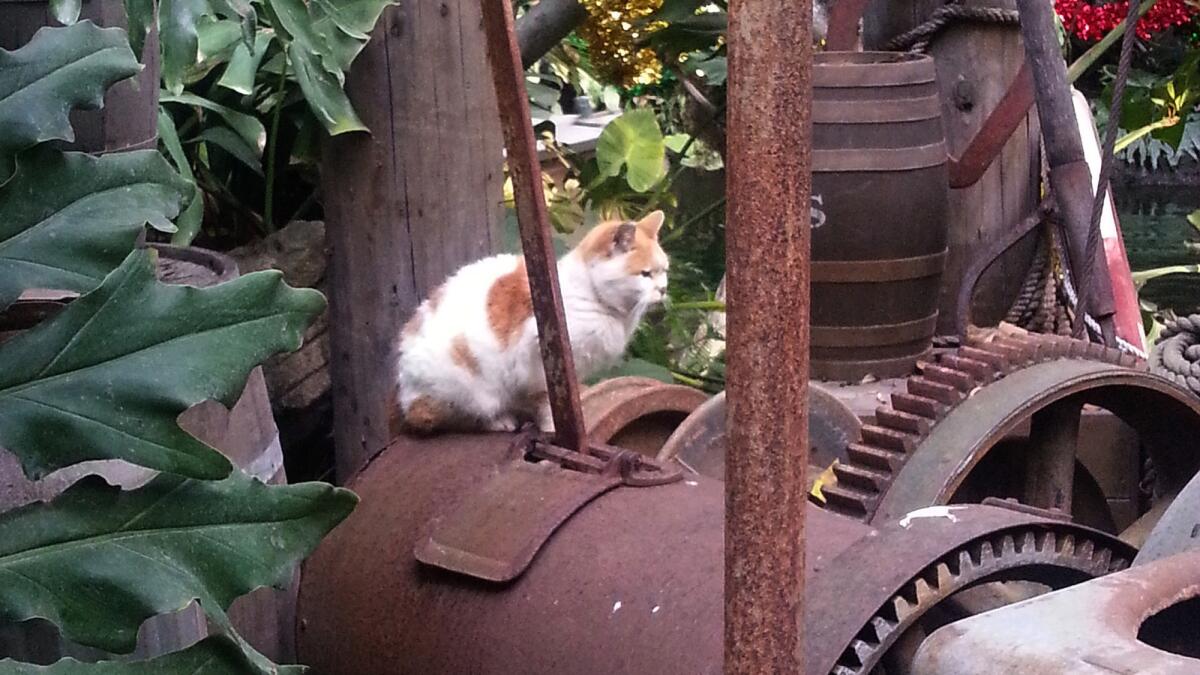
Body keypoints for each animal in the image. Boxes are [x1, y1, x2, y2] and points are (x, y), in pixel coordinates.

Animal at [398, 208, 672, 429]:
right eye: (645, 274)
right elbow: (549, 403)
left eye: (664, 271)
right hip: (468, 386)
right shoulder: (540, 364)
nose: (663, 289)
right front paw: (552, 426)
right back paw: (500, 421)